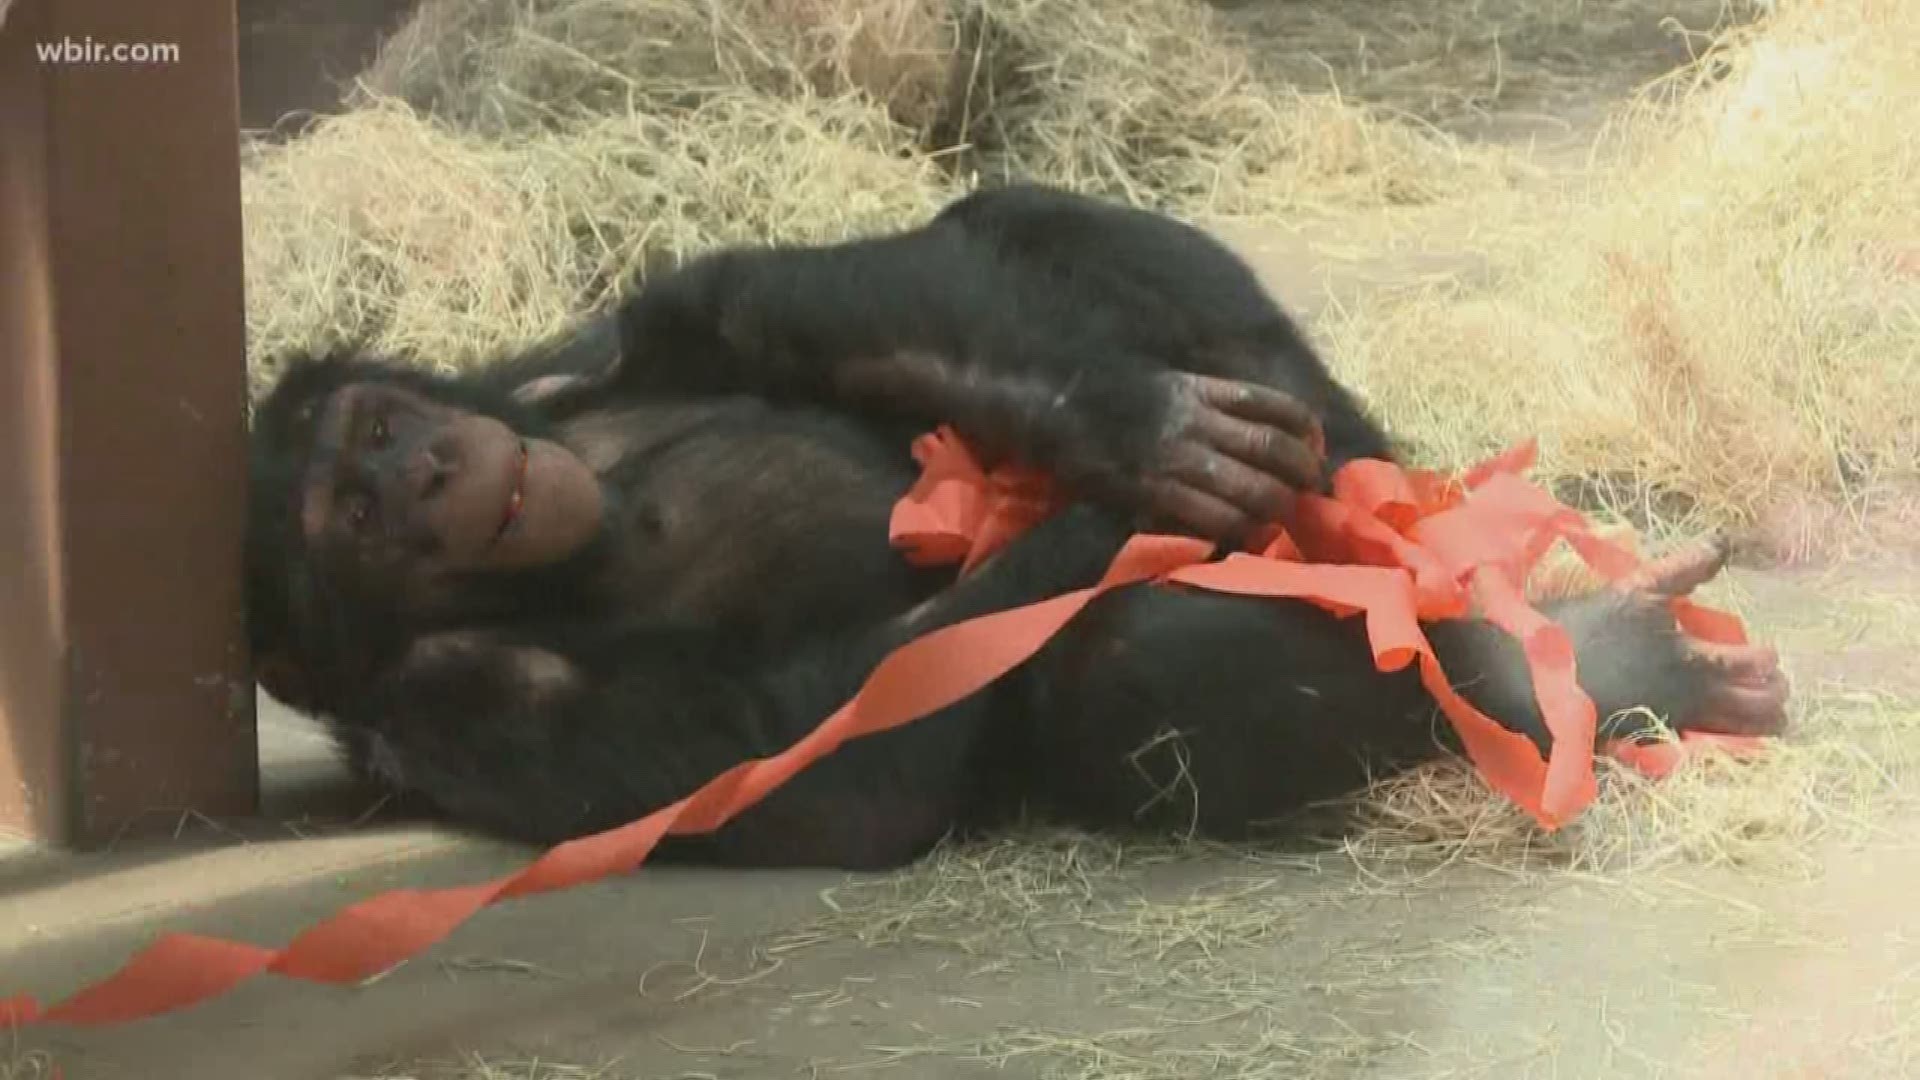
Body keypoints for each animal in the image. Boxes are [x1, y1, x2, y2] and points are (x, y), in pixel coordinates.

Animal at [247, 178, 1789, 864]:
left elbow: (746, 305)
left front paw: (1128, 428)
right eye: (359, 511)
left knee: (1004, 218)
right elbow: (810, 761)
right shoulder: (470, 707)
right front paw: (1117, 498)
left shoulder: (547, 372)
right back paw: (1583, 664)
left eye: (375, 435)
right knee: (1136, 672)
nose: (428, 474)